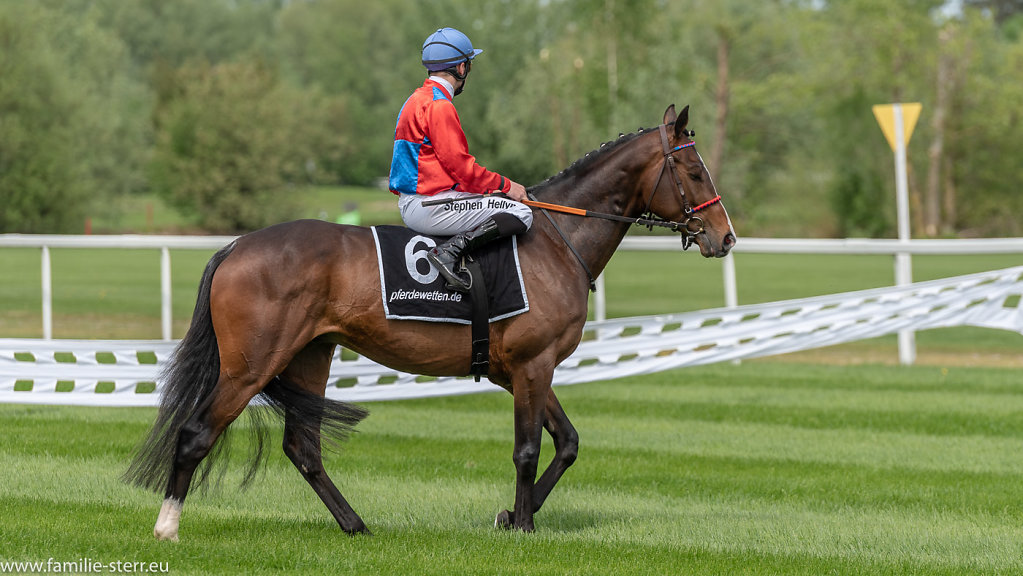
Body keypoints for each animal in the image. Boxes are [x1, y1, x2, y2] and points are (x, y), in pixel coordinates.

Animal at [123, 103, 736, 540]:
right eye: (693, 169)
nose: (725, 237)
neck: (556, 240)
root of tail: (236, 246)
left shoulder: (521, 370)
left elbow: (566, 443)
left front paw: (511, 517)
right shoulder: (533, 365)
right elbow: (529, 449)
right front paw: (525, 525)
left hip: (309, 356)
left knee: (303, 447)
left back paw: (355, 524)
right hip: (250, 366)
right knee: (197, 433)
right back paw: (167, 526)